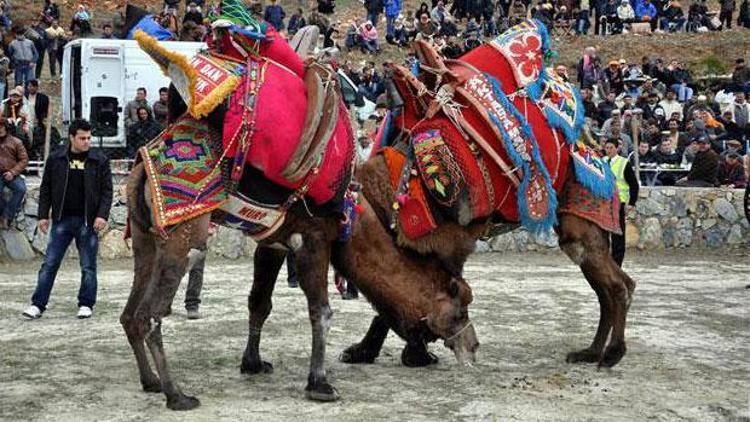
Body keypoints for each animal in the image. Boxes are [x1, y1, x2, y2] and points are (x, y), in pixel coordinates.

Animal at [344, 156, 636, 370]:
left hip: (582, 227)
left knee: (616, 285)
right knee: (611, 288)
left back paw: (612, 354)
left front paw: (417, 354)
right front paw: (359, 352)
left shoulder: (448, 244)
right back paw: (589, 352)